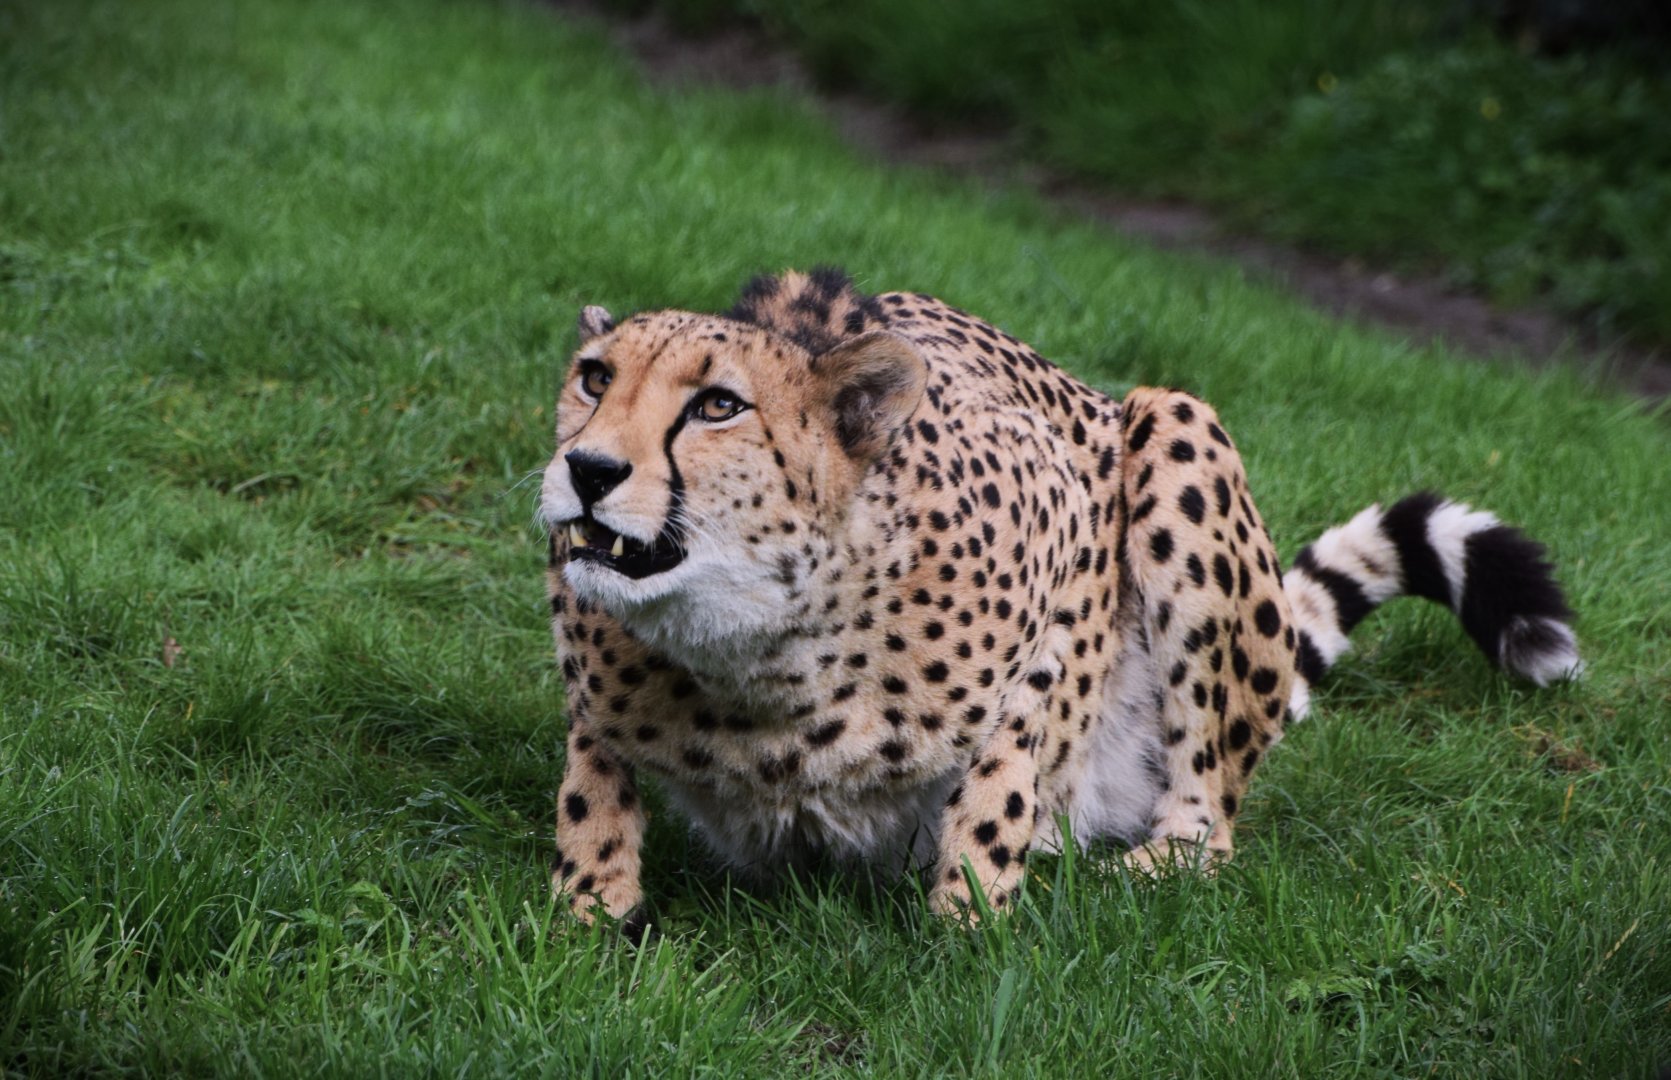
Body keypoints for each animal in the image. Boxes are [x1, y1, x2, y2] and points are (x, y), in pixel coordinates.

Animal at [538, 267, 1579, 923]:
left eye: (717, 405)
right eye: (593, 378)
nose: (587, 469)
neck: (757, 649)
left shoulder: (1067, 544)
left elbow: (1008, 757)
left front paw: (970, 917)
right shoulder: (588, 653)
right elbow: (593, 775)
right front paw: (591, 906)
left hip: (1175, 425)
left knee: (1211, 814)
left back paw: (1143, 864)